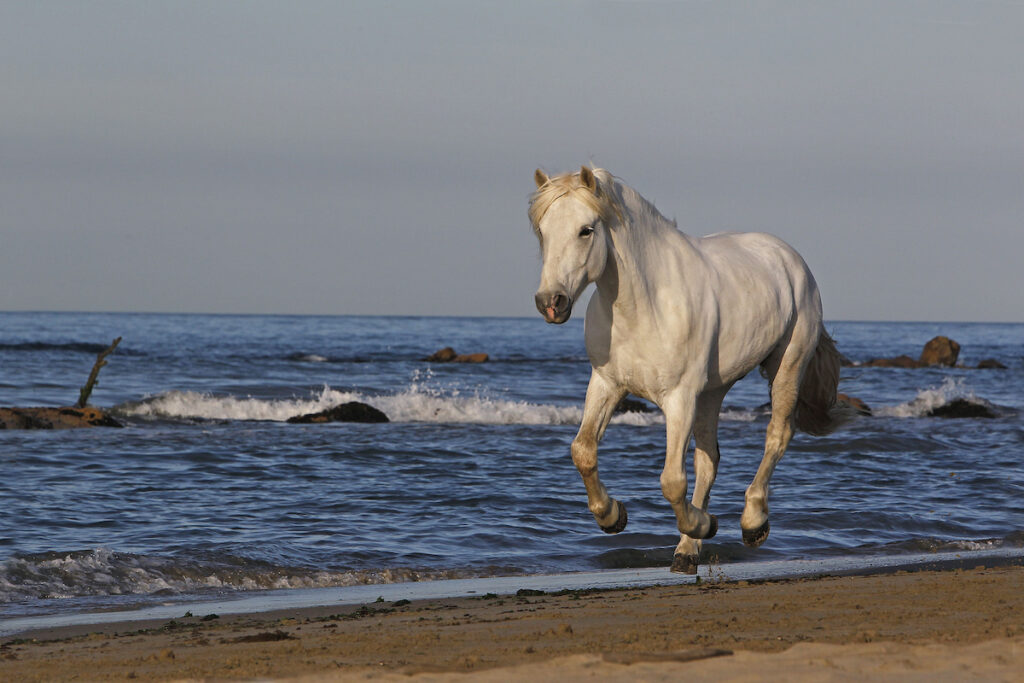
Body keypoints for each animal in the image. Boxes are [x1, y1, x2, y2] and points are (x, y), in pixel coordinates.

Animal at [528, 165, 847, 573]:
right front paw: (614, 517)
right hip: (712, 391)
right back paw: (687, 551)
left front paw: (704, 524)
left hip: (786, 365)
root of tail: (790, 258)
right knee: (708, 459)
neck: (643, 305)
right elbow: (583, 451)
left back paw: (752, 523)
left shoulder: (679, 398)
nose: (551, 302)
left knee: (777, 435)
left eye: (586, 230)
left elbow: (671, 481)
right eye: (542, 230)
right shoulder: (607, 384)